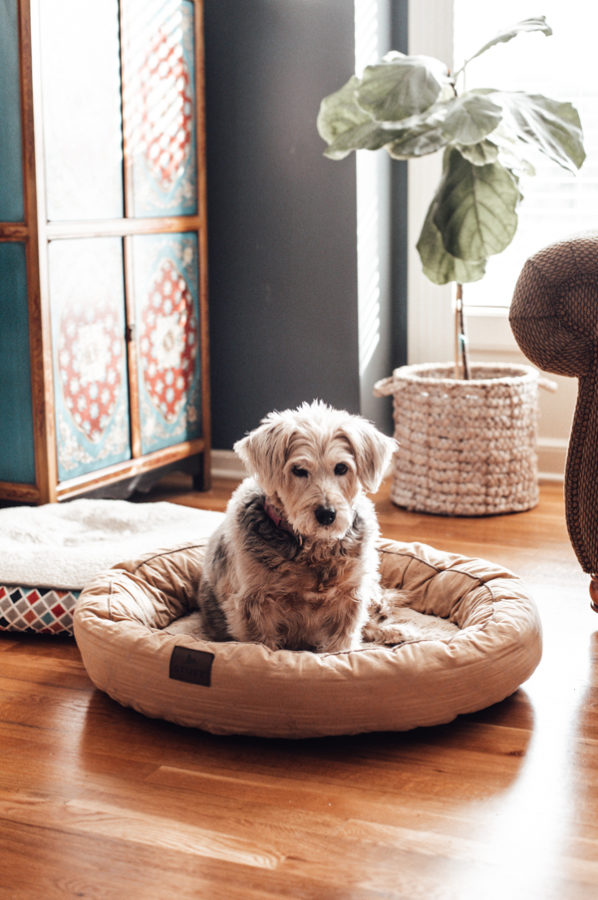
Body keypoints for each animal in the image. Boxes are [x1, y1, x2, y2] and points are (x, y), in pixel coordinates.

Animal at [197, 402, 400, 652]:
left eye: (341, 468)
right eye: (299, 470)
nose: (326, 514)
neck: (313, 547)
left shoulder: (350, 597)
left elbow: (343, 645)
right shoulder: (254, 607)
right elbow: (262, 645)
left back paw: (393, 631)